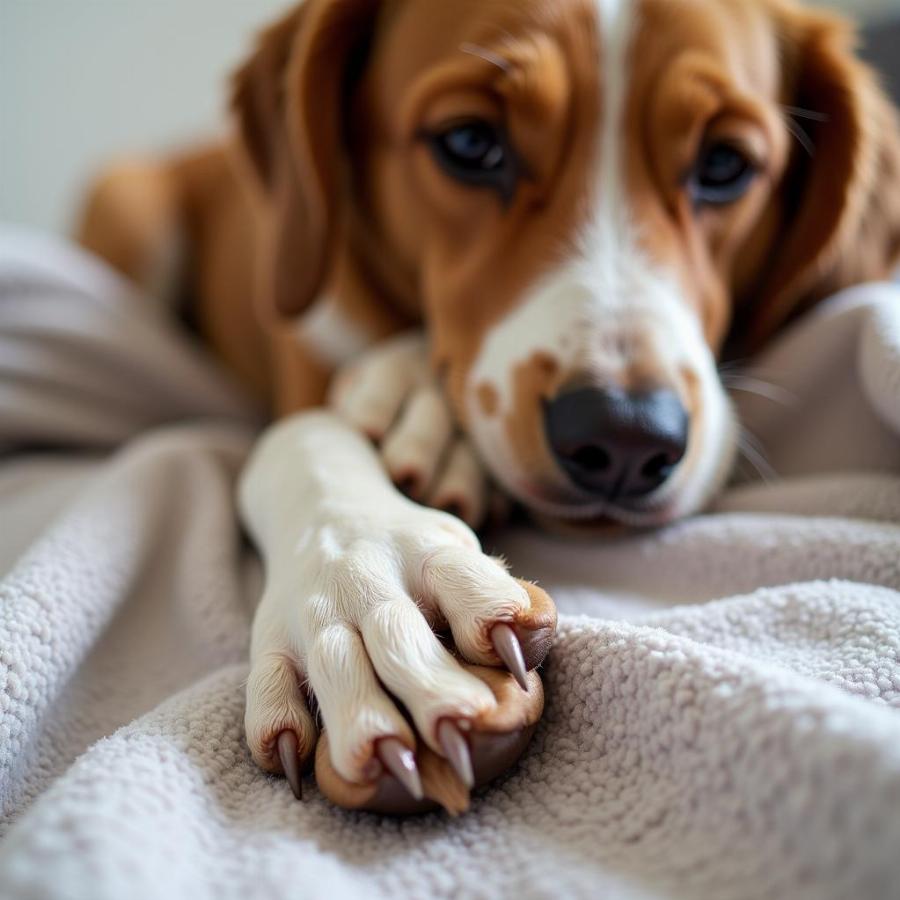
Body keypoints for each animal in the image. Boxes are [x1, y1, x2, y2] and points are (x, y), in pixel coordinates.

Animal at [79, 0, 900, 816]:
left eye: (726, 165)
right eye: (470, 143)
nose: (625, 436)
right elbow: (304, 439)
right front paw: (366, 593)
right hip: (127, 206)